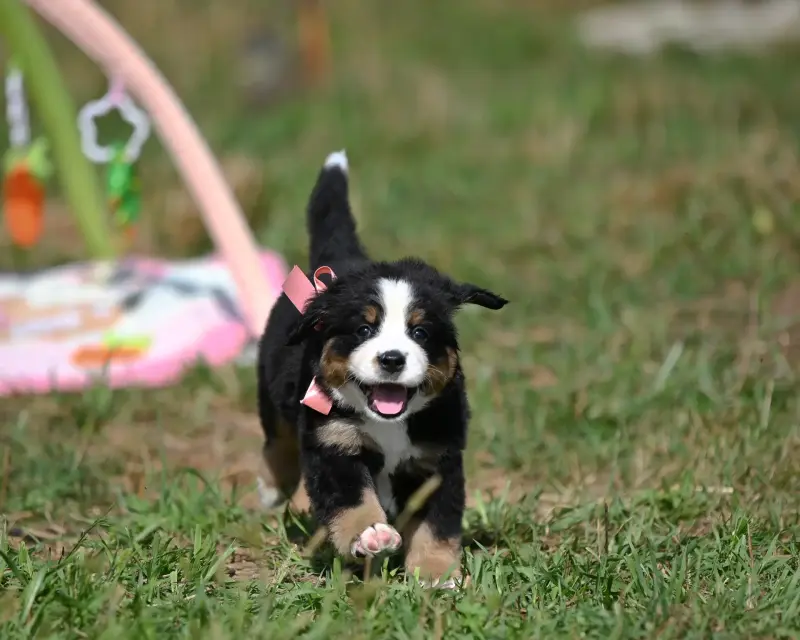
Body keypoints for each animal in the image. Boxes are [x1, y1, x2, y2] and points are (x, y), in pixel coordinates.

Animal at [256, 151, 506, 592]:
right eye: (364, 329)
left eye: (419, 331)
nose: (392, 359)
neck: (389, 424)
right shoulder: (333, 443)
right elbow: (351, 499)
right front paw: (370, 533)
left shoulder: (438, 458)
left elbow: (436, 525)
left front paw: (437, 574)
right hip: (274, 391)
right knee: (279, 441)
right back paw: (274, 489)